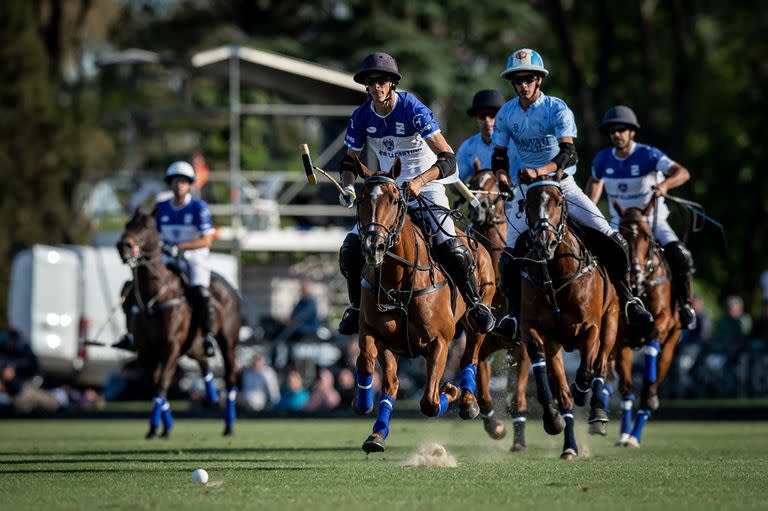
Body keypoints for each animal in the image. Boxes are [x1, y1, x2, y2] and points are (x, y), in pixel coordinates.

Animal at [114, 210, 238, 438]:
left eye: (148, 227)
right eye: (127, 224)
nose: (124, 246)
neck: (154, 298)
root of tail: (230, 287)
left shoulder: (171, 345)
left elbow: (162, 383)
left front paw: (155, 427)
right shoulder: (146, 352)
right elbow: (156, 385)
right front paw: (163, 427)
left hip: (227, 342)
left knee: (230, 378)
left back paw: (229, 425)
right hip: (191, 345)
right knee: (204, 361)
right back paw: (212, 397)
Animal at [352, 158, 496, 454]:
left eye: (395, 199)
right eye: (360, 198)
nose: (373, 247)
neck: (398, 279)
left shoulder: (440, 341)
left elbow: (429, 402)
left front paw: (450, 391)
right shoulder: (375, 334)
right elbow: (370, 366)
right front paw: (366, 411)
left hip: (477, 317)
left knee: (471, 355)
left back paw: (467, 401)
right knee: (391, 384)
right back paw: (377, 432)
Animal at [520, 171, 620, 460]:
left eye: (558, 200)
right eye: (528, 202)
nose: (543, 243)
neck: (556, 276)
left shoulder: (591, 328)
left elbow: (587, 372)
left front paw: (582, 394)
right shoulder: (540, 333)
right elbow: (556, 391)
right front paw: (557, 427)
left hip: (611, 321)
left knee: (600, 365)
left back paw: (596, 412)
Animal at [616, 200, 680, 448]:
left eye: (645, 235)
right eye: (622, 234)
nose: (634, 274)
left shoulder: (662, 321)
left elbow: (653, 337)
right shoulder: (620, 340)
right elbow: (626, 389)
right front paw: (622, 433)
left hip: (672, 342)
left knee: (655, 378)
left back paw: (636, 433)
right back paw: (627, 435)